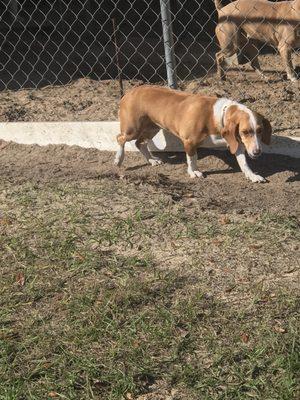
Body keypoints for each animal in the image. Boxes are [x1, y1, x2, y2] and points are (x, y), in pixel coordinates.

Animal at [114, 86, 272, 184]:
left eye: (260, 130)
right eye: (245, 132)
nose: (257, 152)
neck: (216, 116)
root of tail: (129, 92)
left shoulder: (236, 144)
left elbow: (244, 163)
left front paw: (252, 175)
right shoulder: (189, 142)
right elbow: (192, 158)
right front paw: (193, 172)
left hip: (153, 128)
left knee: (139, 143)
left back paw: (152, 160)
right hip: (132, 129)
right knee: (120, 138)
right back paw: (118, 159)